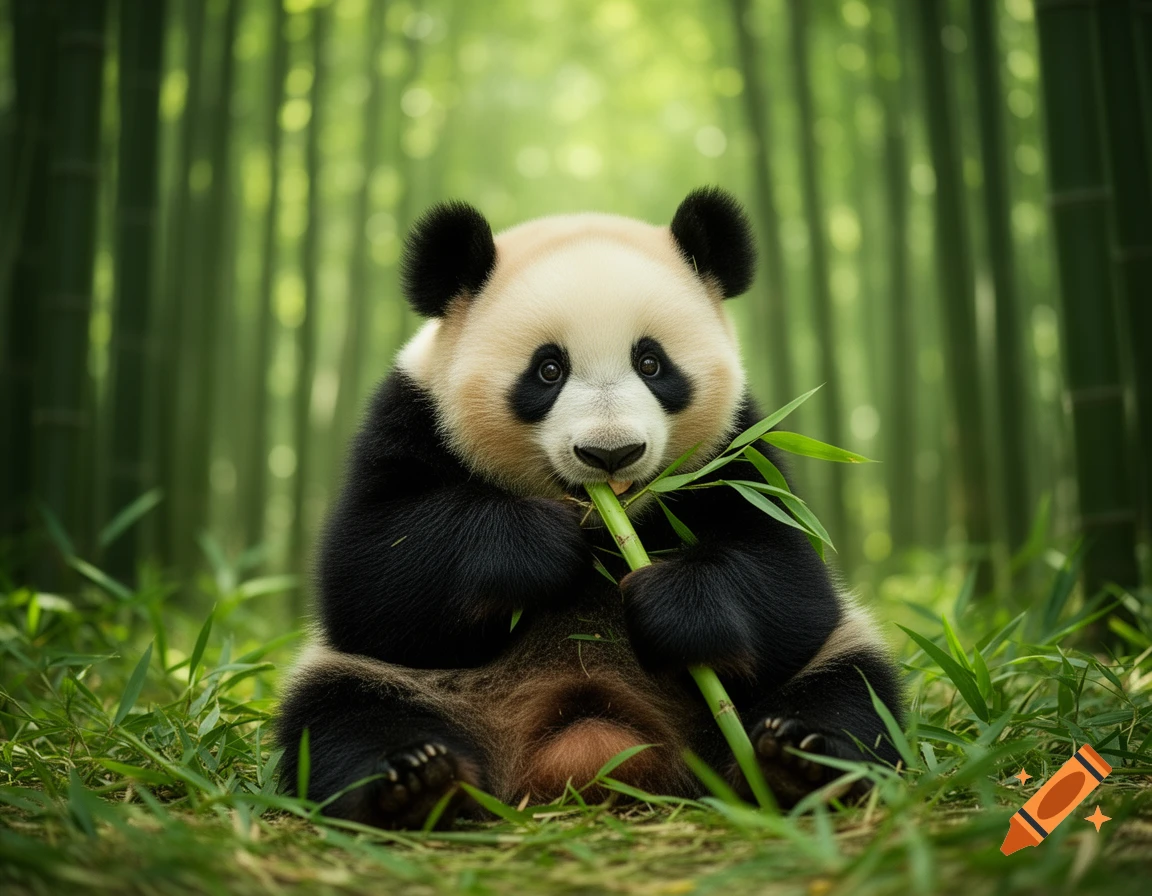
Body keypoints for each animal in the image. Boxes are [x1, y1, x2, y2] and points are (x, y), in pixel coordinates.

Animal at [276, 187, 903, 829]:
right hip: (402, 683)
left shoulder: (741, 448)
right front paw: (536, 545)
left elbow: (791, 579)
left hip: (798, 678)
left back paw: (799, 764)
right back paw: (415, 782)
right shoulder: (410, 417)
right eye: (548, 369)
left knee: (847, 693)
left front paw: (669, 601)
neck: (600, 524)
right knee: (342, 718)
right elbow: (370, 571)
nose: (610, 453)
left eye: (651, 363)